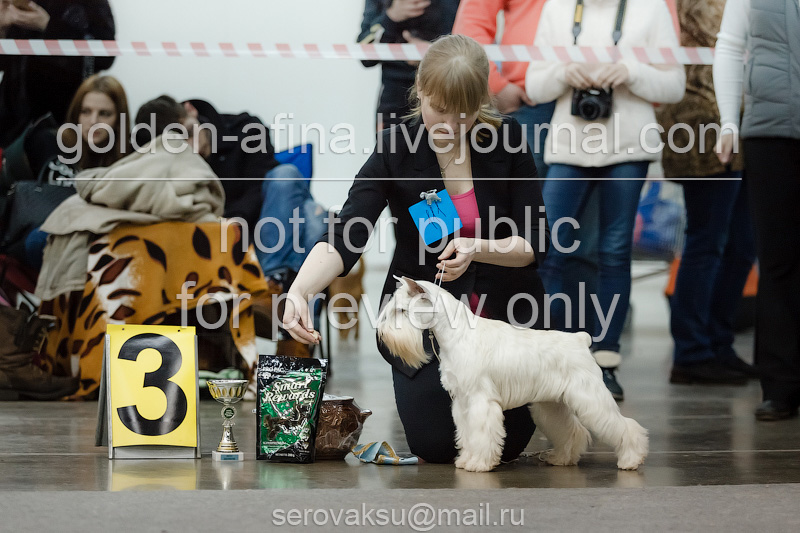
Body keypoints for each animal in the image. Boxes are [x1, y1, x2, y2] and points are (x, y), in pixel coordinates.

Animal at [376, 276, 648, 472]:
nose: (381, 332)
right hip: (552, 405)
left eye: (401, 310)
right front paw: (466, 459)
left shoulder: (480, 401)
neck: (458, 334)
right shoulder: (463, 402)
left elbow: (481, 434)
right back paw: (561, 458)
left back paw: (631, 460)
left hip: (590, 399)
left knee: (624, 426)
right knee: (573, 430)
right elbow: (467, 434)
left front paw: (478, 464)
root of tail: (580, 340)